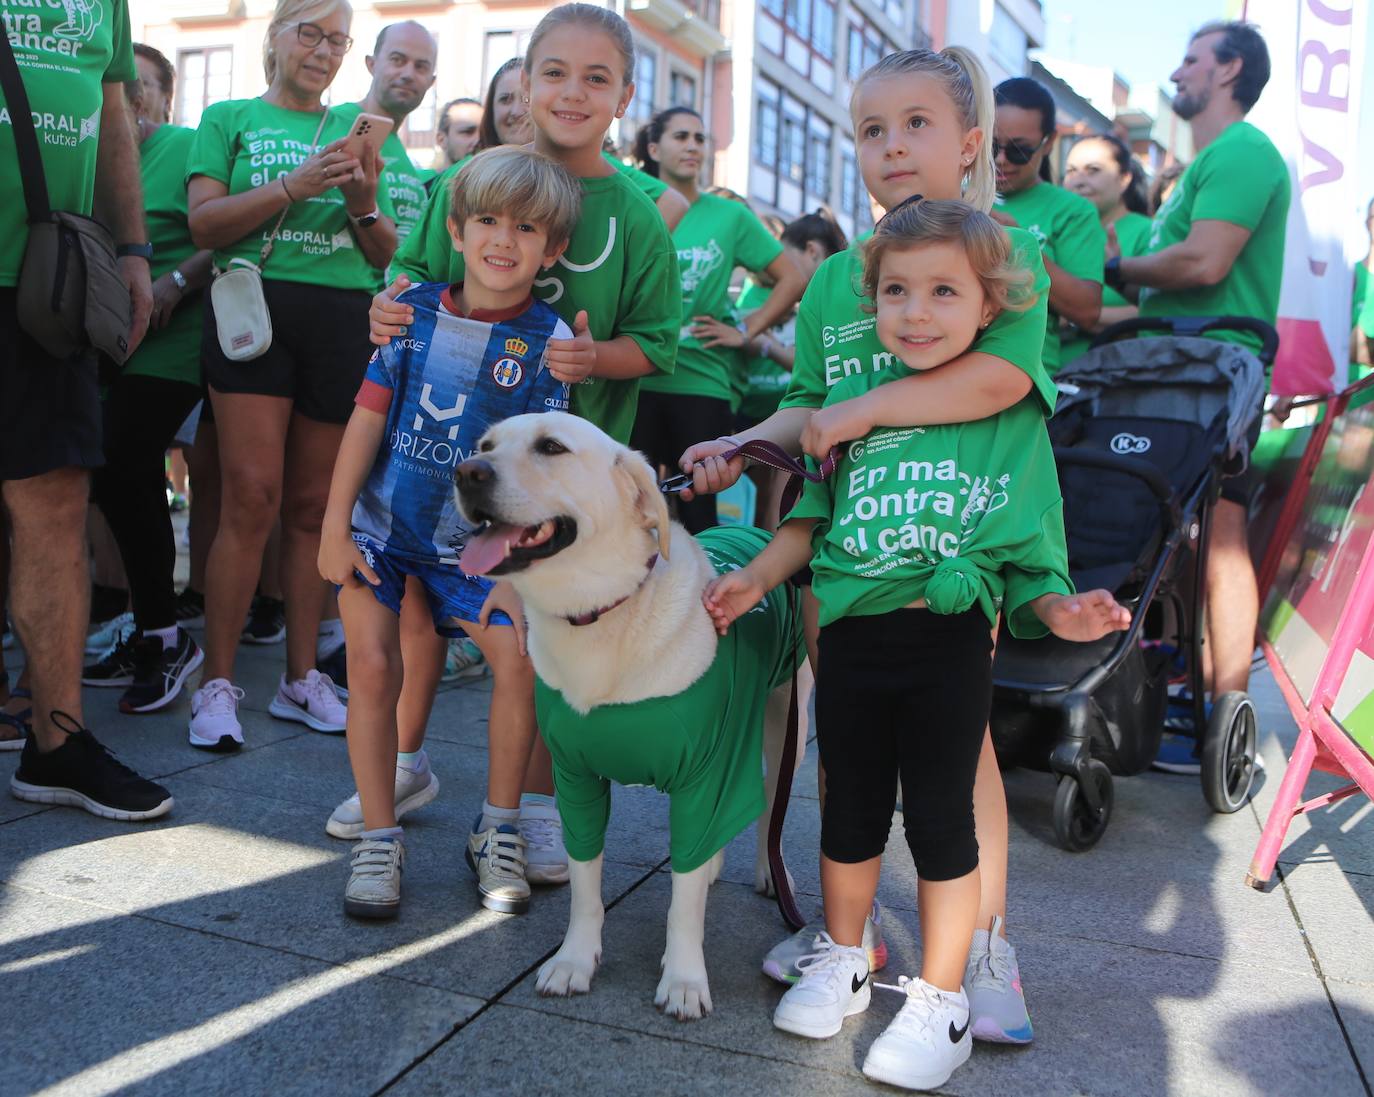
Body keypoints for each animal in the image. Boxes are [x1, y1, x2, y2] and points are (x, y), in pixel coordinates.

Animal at [456, 412, 802, 1022]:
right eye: (485, 445)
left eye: (552, 447)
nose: (466, 472)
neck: (599, 616)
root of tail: (765, 531)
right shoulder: (575, 778)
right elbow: (586, 886)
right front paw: (574, 961)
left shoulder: (706, 774)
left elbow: (683, 904)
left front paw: (684, 980)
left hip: (789, 726)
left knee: (769, 805)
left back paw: (769, 871)